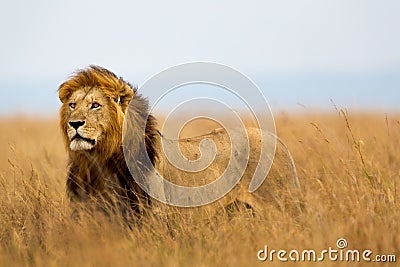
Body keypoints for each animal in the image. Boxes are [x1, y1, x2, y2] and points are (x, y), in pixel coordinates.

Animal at [59, 66, 300, 223]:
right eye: (72, 105)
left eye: (95, 105)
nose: (75, 123)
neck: (99, 161)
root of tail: (276, 139)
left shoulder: (155, 216)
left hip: (281, 207)